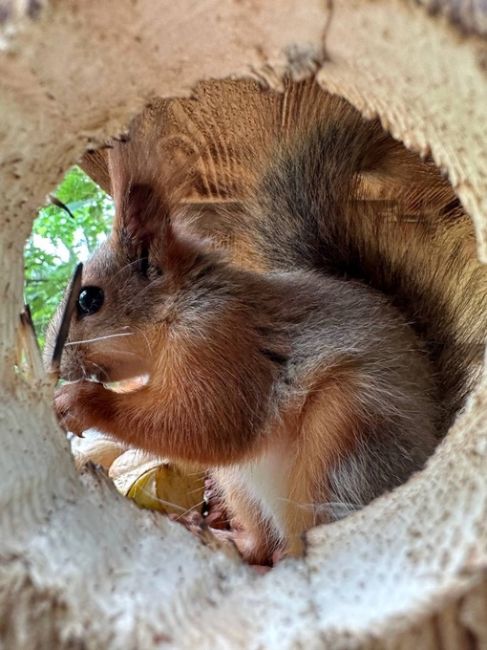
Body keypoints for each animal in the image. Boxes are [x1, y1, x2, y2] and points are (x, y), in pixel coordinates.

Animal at [44, 86, 484, 560]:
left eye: (89, 299)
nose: (55, 364)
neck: (176, 310)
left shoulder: (222, 339)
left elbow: (205, 421)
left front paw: (80, 402)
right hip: (239, 484)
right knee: (260, 542)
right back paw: (229, 539)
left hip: (346, 434)